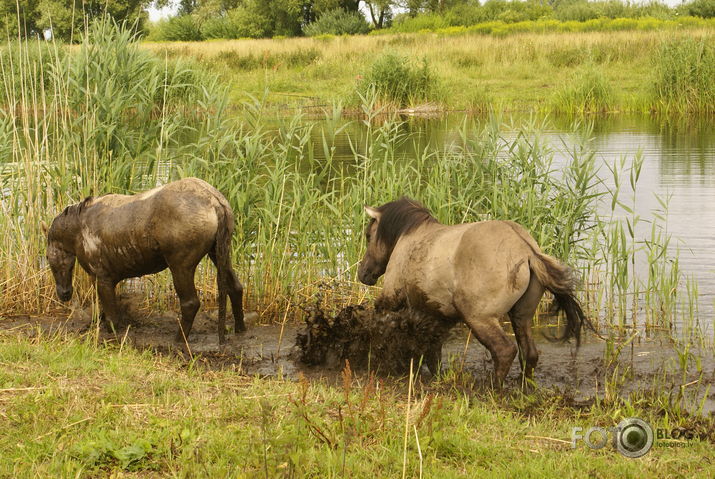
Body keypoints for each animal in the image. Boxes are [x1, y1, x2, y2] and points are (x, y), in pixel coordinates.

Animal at [45, 178, 246, 344]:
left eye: (47, 257)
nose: (64, 293)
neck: (75, 232)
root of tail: (216, 203)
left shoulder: (102, 276)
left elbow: (111, 317)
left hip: (181, 264)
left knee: (190, 302)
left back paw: (179, 339)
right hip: (219, 252)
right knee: (236, 287)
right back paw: (240, 329)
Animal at [358, 197, 592, 388]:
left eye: (369, 235)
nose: (363, 273)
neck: (408, 236)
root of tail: (527, 253)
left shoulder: (391, 299)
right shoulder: (437, 313)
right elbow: (434, 350)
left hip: (479, 317)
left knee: (505, 350)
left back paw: (492, 387)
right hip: (521, 316)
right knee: (529, 354)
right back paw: (523, 387)